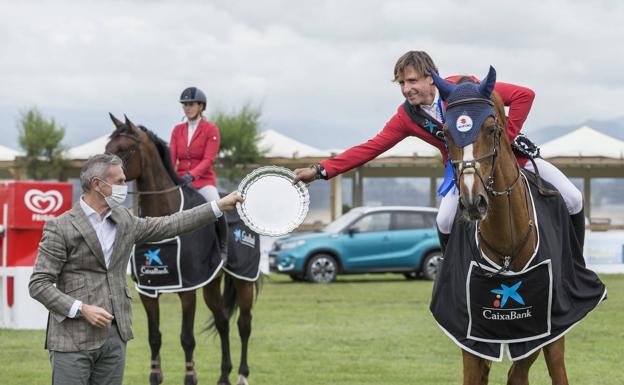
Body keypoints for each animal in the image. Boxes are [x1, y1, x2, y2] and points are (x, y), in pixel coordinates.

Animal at [428, 67, 604, 382]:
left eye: (492, 129)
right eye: (445, 133)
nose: (473, 202)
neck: (506, 243)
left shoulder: (548, 328)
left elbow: (538, 370)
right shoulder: (471, 338)